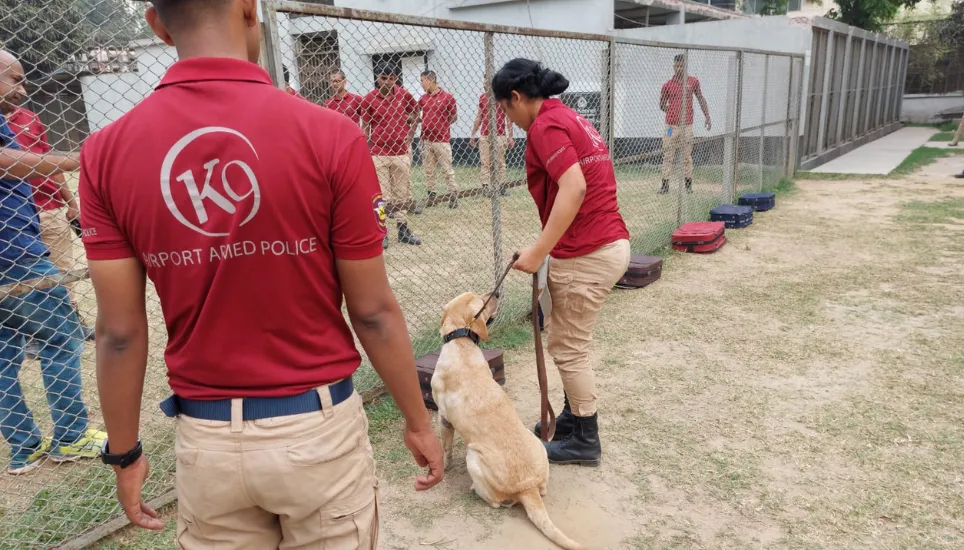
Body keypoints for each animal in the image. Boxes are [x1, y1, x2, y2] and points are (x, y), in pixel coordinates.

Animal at [432, 294, 584, 550]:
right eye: (481, 299)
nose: (496, 294)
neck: (461, 342)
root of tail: (527, 487)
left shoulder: (443, 419)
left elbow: (446, 449)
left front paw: (444, 466)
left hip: (473, 455)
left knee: (495, 502)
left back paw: (476, 490)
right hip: (539, 446)